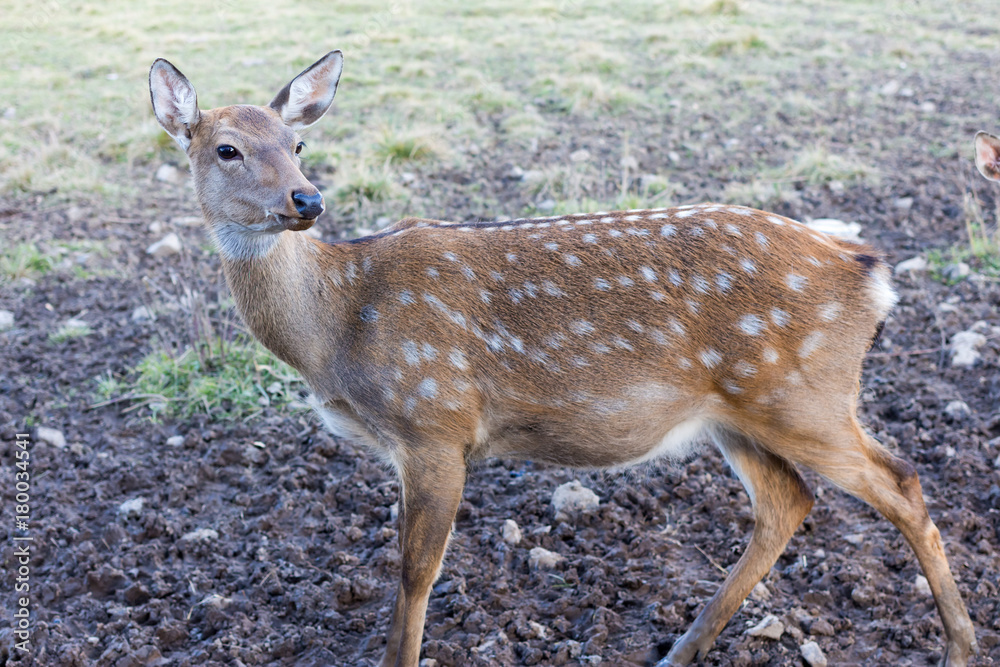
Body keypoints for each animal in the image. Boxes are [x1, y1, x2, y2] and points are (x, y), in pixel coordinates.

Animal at [149, 51, 977, 666]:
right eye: (227, 148)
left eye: (299, 145)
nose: (306, 200)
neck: (339, 323)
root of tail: (867, 270)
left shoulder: (435, 421)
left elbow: (416, 573)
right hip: (737, 411)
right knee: (789, 499)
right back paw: (681, 647)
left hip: (803, 392)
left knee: (903, 482)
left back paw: (960, 646)